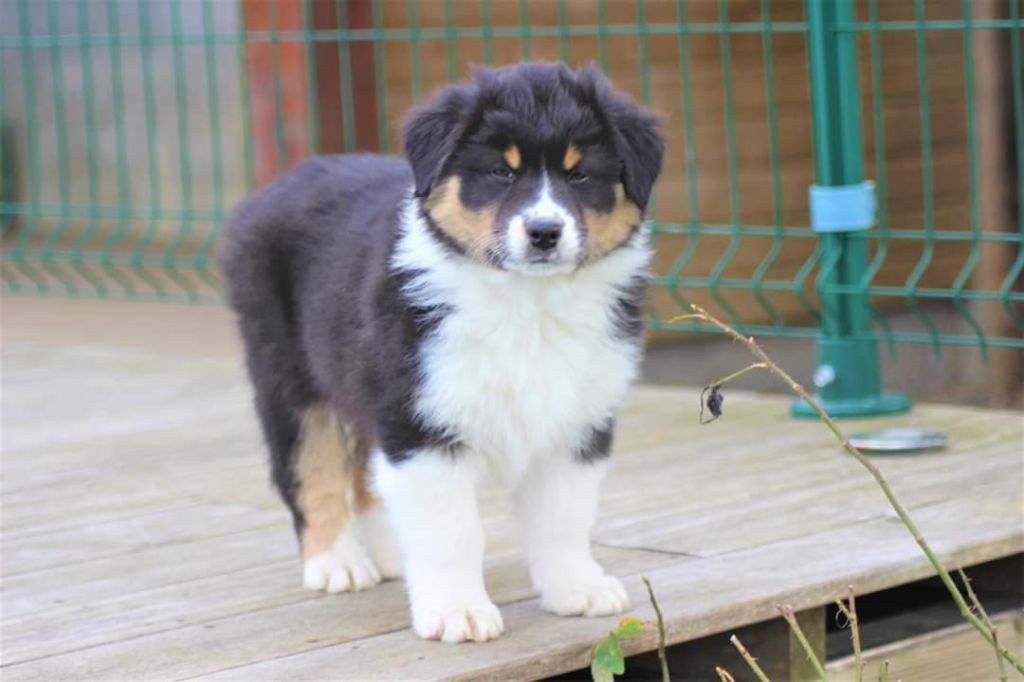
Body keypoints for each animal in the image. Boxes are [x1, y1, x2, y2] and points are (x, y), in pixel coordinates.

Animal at [221, 62, 664, 643]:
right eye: (500, 172)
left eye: (580, 176)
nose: (544, 232)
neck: (529, 303)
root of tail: (281, 183)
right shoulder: (421, 423)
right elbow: (451, 531)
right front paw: (459, 612)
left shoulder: (578, 421)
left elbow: (563, 518)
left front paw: (576, 589)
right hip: (289, 373)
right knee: (308, 468)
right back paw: (338, 563)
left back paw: (387, 555)